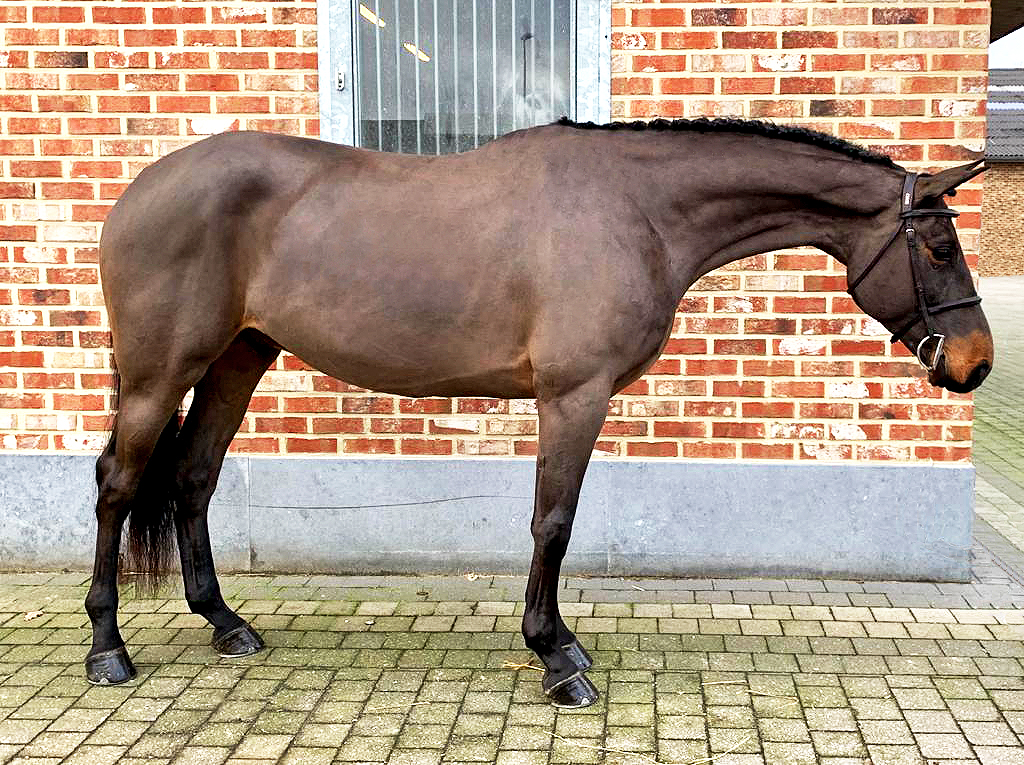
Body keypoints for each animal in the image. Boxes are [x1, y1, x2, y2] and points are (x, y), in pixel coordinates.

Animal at [84, 117, 992, 708]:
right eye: (939, 246)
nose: (976, 362)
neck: (637, 210)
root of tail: (138, 191)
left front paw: (560, 643)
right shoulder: (574, 396)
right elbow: (553, 521)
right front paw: (557, 658)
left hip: (239, 358)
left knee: (194, 477)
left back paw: (225, 623)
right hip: (162, 372)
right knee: (118, 484)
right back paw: (108, 649)